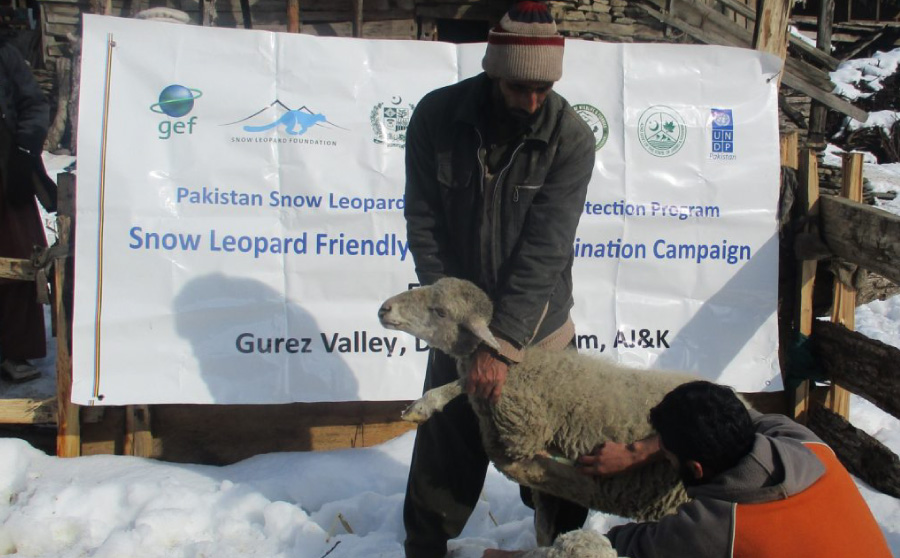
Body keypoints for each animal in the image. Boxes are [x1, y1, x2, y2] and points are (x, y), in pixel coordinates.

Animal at [376, 278, 708, 528]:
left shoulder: (523, 437)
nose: (384, 308)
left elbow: (522, 465)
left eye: (441, 312)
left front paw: (424, 404)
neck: (527, 368)